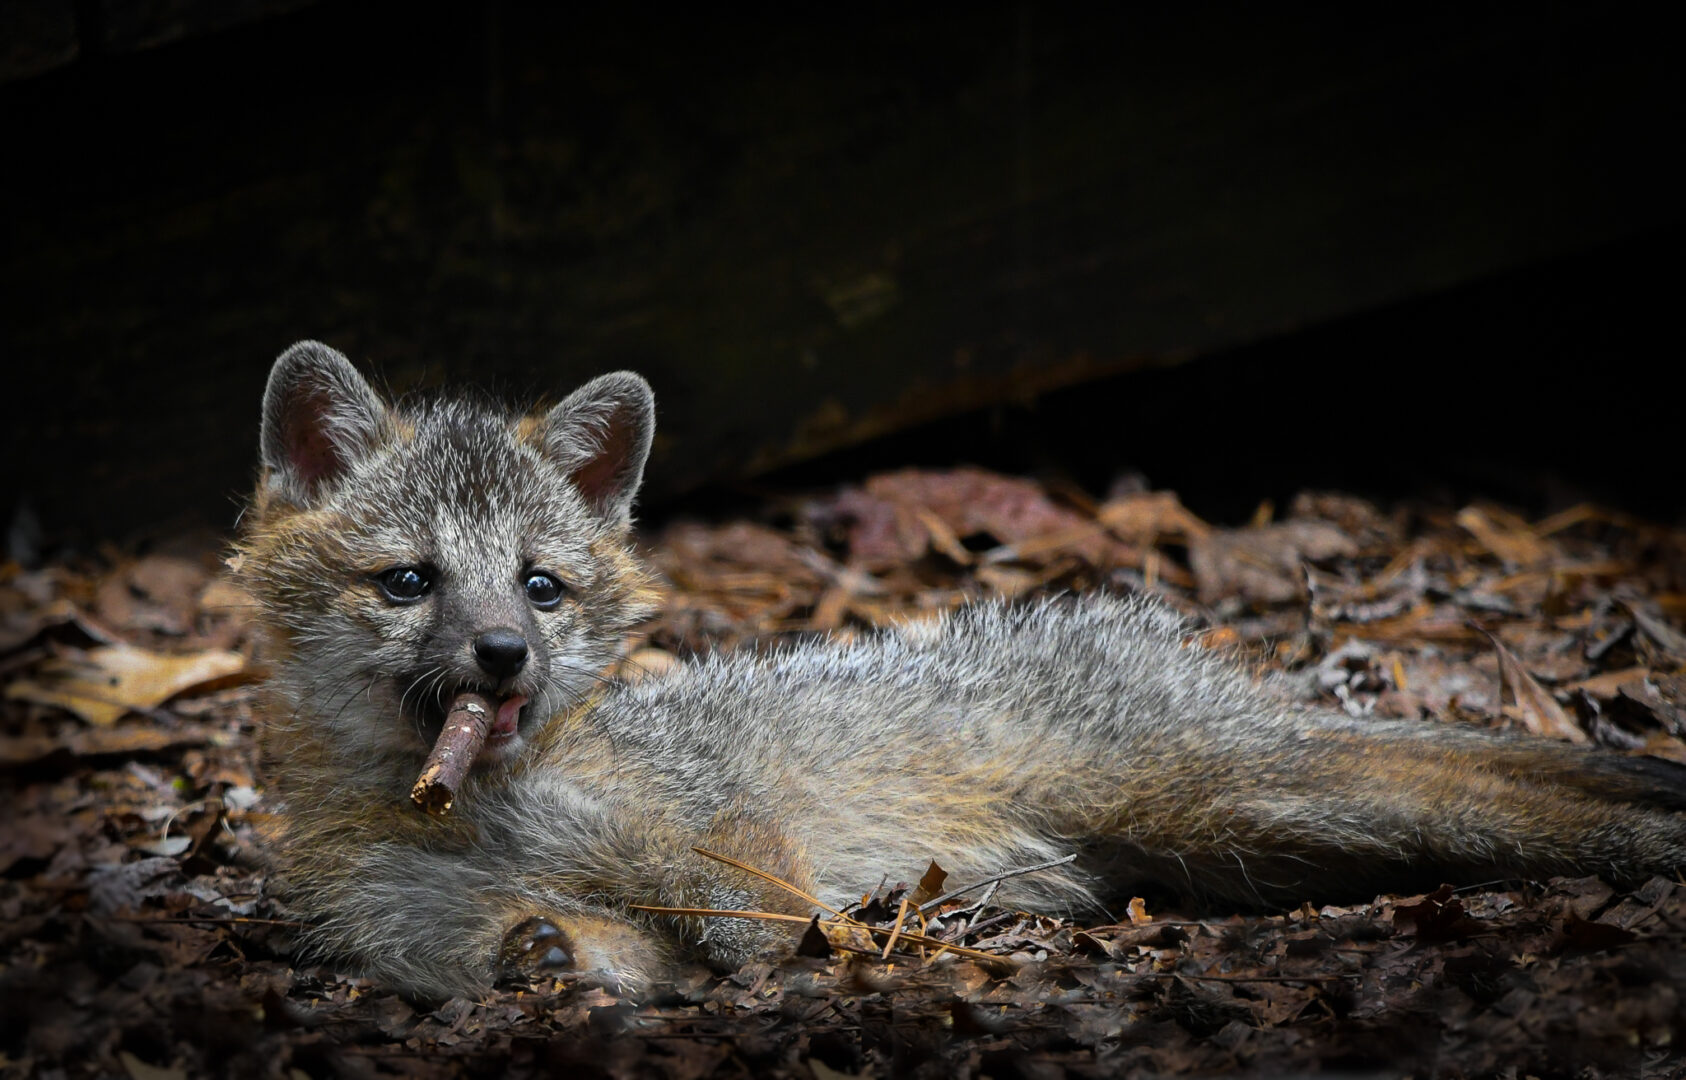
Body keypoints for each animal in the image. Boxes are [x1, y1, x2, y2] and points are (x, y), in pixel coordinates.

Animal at [237, 340, 1686, 1001]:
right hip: (1242, 841)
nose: (502, 652)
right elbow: (561, 947)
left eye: (539, 586)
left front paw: (828, 958)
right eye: (410, 582)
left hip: (1242, 801)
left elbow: (760, 918)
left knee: (1515, 800)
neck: (486, 808)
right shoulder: (444, 930)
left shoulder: (721, 837)